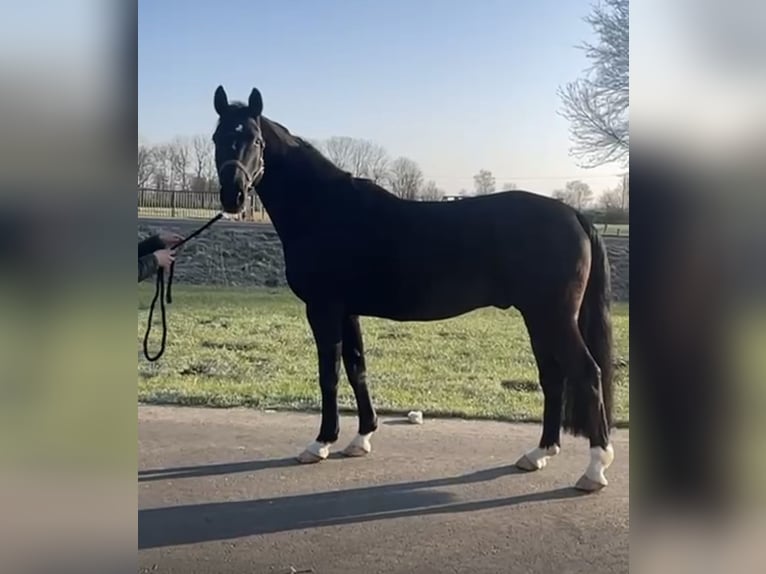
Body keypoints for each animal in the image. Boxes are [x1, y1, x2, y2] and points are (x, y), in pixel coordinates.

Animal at [214, 86, 616, 496]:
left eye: (255, 139)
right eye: (217, 137)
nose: (233, 196)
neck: (323, 209)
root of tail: (574, 214)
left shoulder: (323, 309)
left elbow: (330, 375)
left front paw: (321, 443)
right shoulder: (348, 310)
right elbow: (357, 368)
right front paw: (361, 438)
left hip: (552, 316)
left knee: (587, 373)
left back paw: (595, 469)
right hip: (538, 317)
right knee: (553, 377)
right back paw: (539, 454)